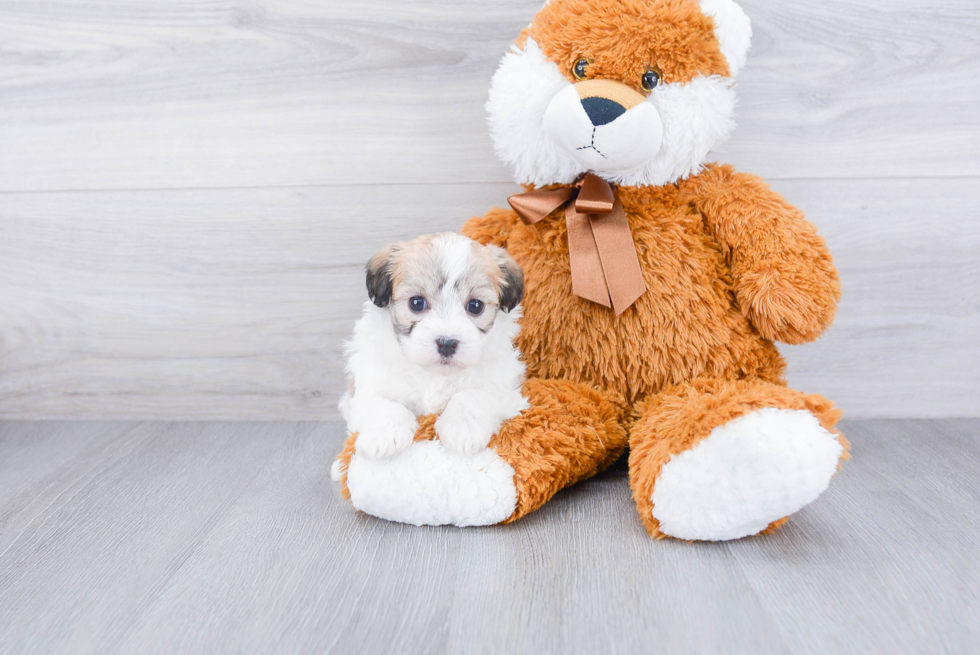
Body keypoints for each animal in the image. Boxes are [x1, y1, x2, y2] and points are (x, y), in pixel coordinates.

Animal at [342, 233, 532, 458]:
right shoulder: (365, 384)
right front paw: (385, 435)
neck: (435, 374)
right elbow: (381, 401)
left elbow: (473, 394)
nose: (446, 344)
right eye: (416, 303)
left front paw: (463, 429)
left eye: (475, 306)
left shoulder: (504, 385)